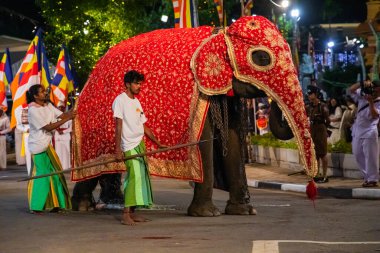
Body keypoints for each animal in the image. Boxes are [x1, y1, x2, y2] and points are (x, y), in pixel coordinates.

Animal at [71, 15, 318, 216]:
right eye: (261, 58)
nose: (311, 183)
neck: (218, 33)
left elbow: (233, 140)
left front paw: (245, 211)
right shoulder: (199, 92)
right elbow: (203, 142)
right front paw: (207, 214)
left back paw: (111, 203)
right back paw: (83, 206)